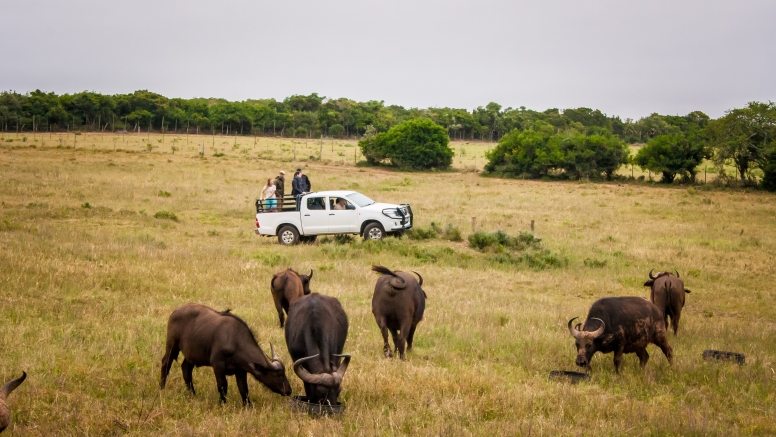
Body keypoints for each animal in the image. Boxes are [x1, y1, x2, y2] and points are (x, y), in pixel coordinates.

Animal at [160, 304, 292, 402]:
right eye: (278, 375)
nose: (288, 390)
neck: (235, 341)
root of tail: (176, 311)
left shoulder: (241, 370)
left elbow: (244, 388)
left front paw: (248, 406)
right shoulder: (218, 366)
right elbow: (223, 386)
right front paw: (222, 403)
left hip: (192, 354)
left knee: (186, 368)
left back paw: (193, 394)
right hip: (172, 345)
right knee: (165, 363)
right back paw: (161, 388)